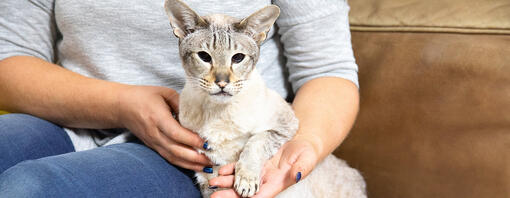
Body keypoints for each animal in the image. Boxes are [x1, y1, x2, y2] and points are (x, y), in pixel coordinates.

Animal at [163, 0, 366, 197]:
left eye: (238, 58)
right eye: (204, 57)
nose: (222, 83)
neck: (217, 112)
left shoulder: (285, 126)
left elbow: (254, 143)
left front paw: (246, 181)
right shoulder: (208, 181)